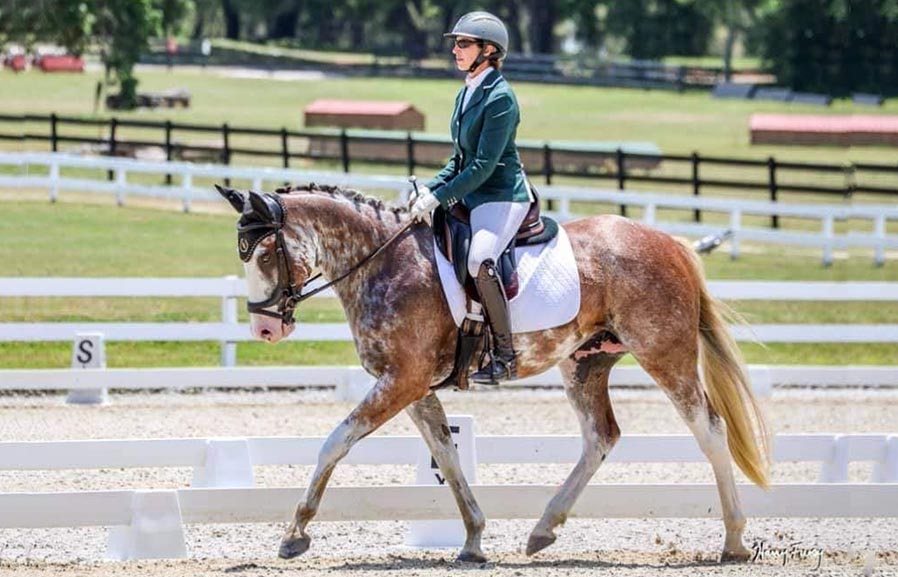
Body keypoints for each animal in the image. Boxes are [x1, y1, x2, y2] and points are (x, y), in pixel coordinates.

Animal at [214, 183, 768, 564]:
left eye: (267, 253)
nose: (264, 329)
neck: (383, 261)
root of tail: (672, 244)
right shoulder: (414, 387)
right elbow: (447, 455)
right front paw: (474, 539)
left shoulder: (401, 381)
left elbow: (335, 442)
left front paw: (295, 534)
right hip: (585, 362)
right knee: (601, 436)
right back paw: (543, 529)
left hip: (664, 354)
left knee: (710, 430)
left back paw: (734, 540)